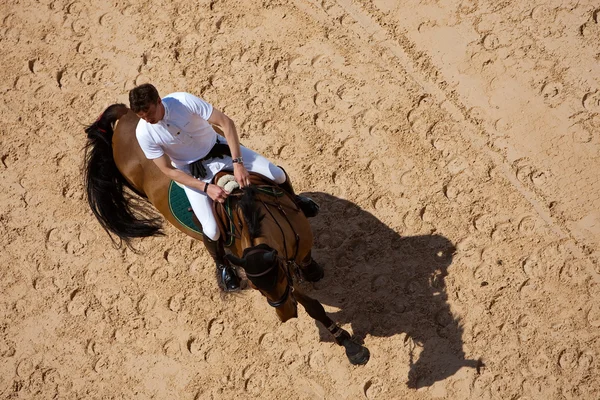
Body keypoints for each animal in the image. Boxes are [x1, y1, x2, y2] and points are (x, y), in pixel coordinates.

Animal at [82, 104, 368, 366]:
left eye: (277, 279)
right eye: (257, 287)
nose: (285, 315)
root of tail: (126, 115)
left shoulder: (294, 254)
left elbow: (307, 265)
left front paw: (312, 270)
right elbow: (313, 306)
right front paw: (349, 345)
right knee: (211, 236)